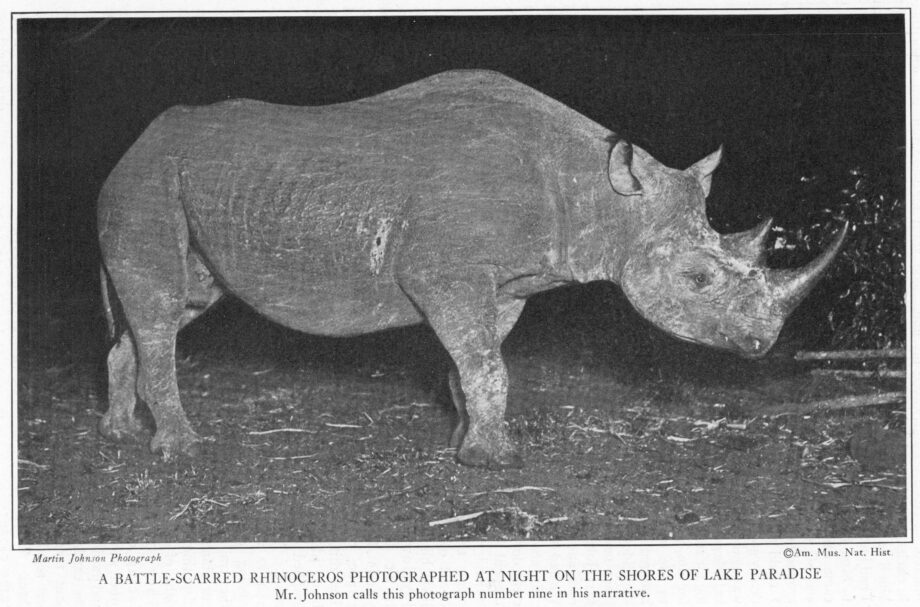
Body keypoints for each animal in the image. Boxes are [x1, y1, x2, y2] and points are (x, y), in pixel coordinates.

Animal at [97, 69, 846, 468]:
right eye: (698, 280)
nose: (762, 344)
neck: (598, 194)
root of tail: (131, 146)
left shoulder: (502, 283)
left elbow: (475, 361)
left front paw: (465, 443)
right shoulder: (444, 274)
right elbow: (487, 362)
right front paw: (498, 461)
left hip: (183, 187)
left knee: (174, 306)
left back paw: (121, 435)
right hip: (148, 183)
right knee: (160, 308)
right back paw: (180, 450)